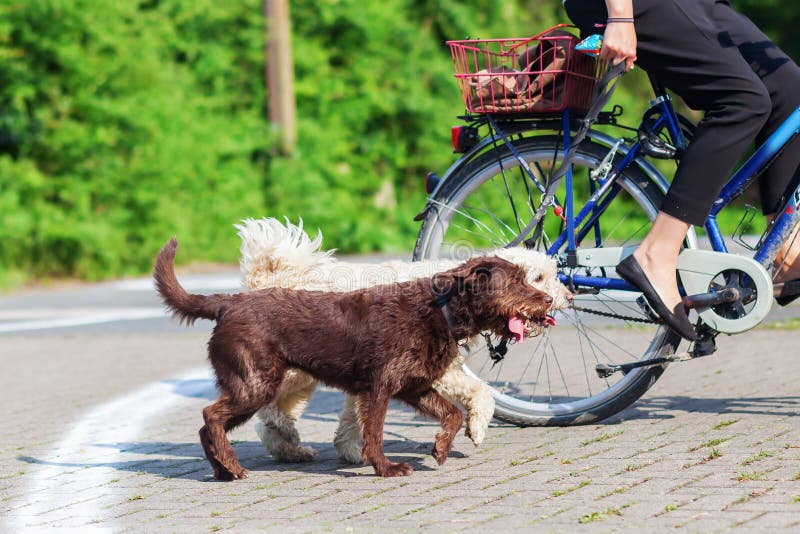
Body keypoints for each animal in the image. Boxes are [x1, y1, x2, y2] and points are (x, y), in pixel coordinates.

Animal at [153, 240, 552, 482]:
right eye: (517, 281)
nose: (548, 300)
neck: (442, 310)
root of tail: (227, 303)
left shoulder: (415, 387)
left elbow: (452, 414)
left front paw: (440, 448)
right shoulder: (378, 389)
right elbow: (373, 433)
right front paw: (386, 468)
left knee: (207, 425)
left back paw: (222, 470)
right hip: (255, 384)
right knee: (211, 417)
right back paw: (233, 466)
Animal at [238, 218, 568, 464]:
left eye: (551, 274)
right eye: (536, 278)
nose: (564, 296)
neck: (452, 298)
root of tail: (272, 277)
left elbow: (352, 419)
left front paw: (352, 451)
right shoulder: (436, 372)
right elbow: (481, 392)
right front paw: (476, 428)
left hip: (303, 377)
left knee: (271, 419)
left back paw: (290, 449)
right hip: (293, 371)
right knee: (267, 410)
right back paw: (287, 434)